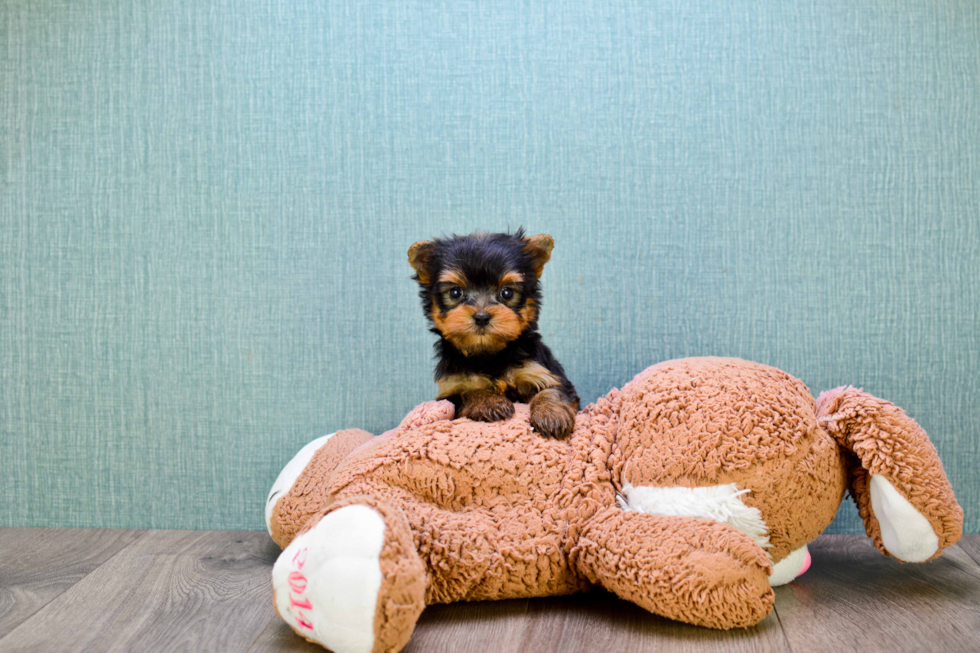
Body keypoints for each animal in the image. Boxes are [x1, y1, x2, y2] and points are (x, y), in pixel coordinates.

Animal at [408, 228, 580, 438]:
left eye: (507, 293)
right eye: (455, 292)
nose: (481, 317)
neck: (489, 354)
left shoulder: (540, 370)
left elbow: (553, 390)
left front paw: (552, 415)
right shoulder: (451, 389)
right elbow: (467, 393)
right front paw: (489, 402)